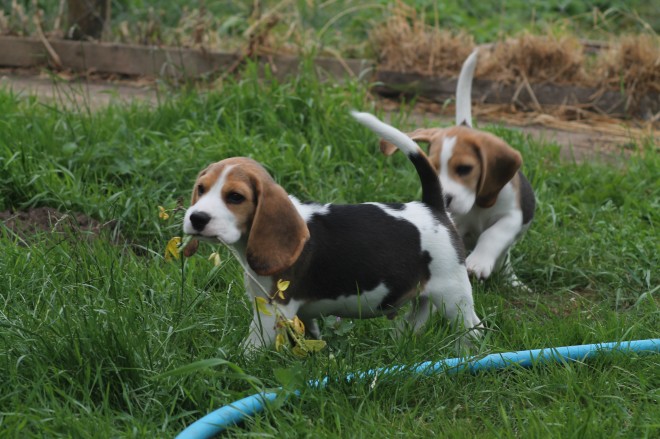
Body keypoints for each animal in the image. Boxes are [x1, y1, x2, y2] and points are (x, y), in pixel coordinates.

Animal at [183, 111, 482, 354]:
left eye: (235, 197)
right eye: (201, 188)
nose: (196, 218)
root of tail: (432, 207)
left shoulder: (274, 309)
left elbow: (253, 345)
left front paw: (240, 364)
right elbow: (308, 337)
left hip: (452, 292)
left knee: (471, 327)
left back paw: (466, 354)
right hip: (424, 295)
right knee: (416, 318)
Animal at [382, 49, 536, 288]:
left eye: (464, 169)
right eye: (433, 168)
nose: (445, 199)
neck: (476, 206)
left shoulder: (512, 215)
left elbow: (493, 234)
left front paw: (479, 262)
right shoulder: (454, 225)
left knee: (504, 258)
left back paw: (512, 281)